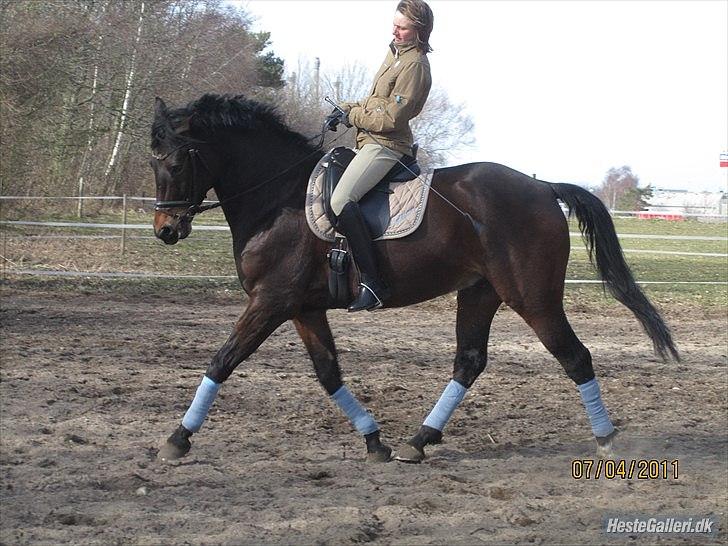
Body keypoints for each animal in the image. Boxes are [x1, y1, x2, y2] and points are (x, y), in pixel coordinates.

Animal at [151, 93, 680, 464]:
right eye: (153, 161)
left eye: (175, 162)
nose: (165, 231)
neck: (277, 199)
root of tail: (542, 186)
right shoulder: (302, 307)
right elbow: (328, 373)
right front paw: (374, 442)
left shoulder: (270, 301)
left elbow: (222, 361)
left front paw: (177, 440)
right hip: (480, 294)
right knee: (469, 362)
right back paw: (418, 441)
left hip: (533, 298)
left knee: (575, 357)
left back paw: (607, 440)